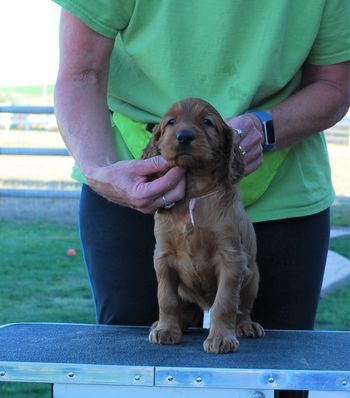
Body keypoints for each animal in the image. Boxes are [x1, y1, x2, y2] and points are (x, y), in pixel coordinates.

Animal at [142, 98, 262, 352]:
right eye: (171, 121)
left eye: (207, 122)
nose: (184, 136)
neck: (194, 192)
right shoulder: (163, 257)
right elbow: (166, 299)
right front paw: (166, 330)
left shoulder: (231, 258)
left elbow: (225, 303)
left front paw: (221, 338)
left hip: (252, 277)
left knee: (243, 307)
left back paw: (246, 326)